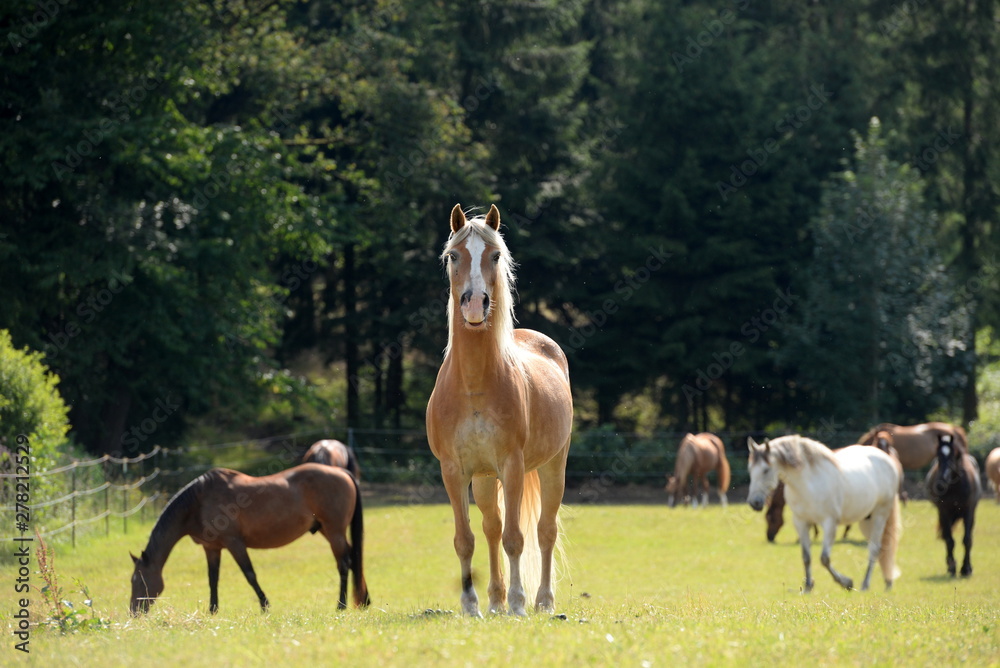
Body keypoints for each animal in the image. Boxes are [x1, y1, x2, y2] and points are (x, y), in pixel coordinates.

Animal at [129, 464, 370, 616]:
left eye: (137, 580)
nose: (133, 612)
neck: (199, 501)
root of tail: (341, 471)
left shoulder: (234, 543)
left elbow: (250, 575)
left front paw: (265, 605)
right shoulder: (212, 548)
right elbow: (213, 579)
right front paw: (212, 610)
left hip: (334, 531)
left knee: (344, 563)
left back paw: (341, 605)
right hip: (328, 531)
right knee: (353, 558)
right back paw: (364, 600)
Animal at [426, 202, 576, 616]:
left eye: (494, 255)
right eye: (453, 256)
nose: (476, 304)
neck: (474, 385)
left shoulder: (512, 465)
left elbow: (516, 538)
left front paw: (519, 604)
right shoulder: (454, 470)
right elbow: (466, 538)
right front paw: (472, 605)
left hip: (552, 466)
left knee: (545, 531)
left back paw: (543, 601)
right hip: (483, 479)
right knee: (491, 528)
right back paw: (494, 600)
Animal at [748, 436, 904, 592]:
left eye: (766, 469)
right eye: (750, 469)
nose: (754, 502)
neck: (808, 484)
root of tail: (887, 459)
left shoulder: (829, 523)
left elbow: (824, 559)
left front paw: (846, 582)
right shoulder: (801, 522)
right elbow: (806, 557)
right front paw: (808, 586)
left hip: (880, 515)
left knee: (875, 548)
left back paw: (866, 585)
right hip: (866, 519)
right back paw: (887, 581)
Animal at [924, 430, 980, 576]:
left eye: (954, 456)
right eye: (938, 455)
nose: (941, 484)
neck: (955, 486)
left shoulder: (968, 511)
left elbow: (967, 539)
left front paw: (966, 568)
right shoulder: (944, 512)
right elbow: (949, 540)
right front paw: (952, 567)